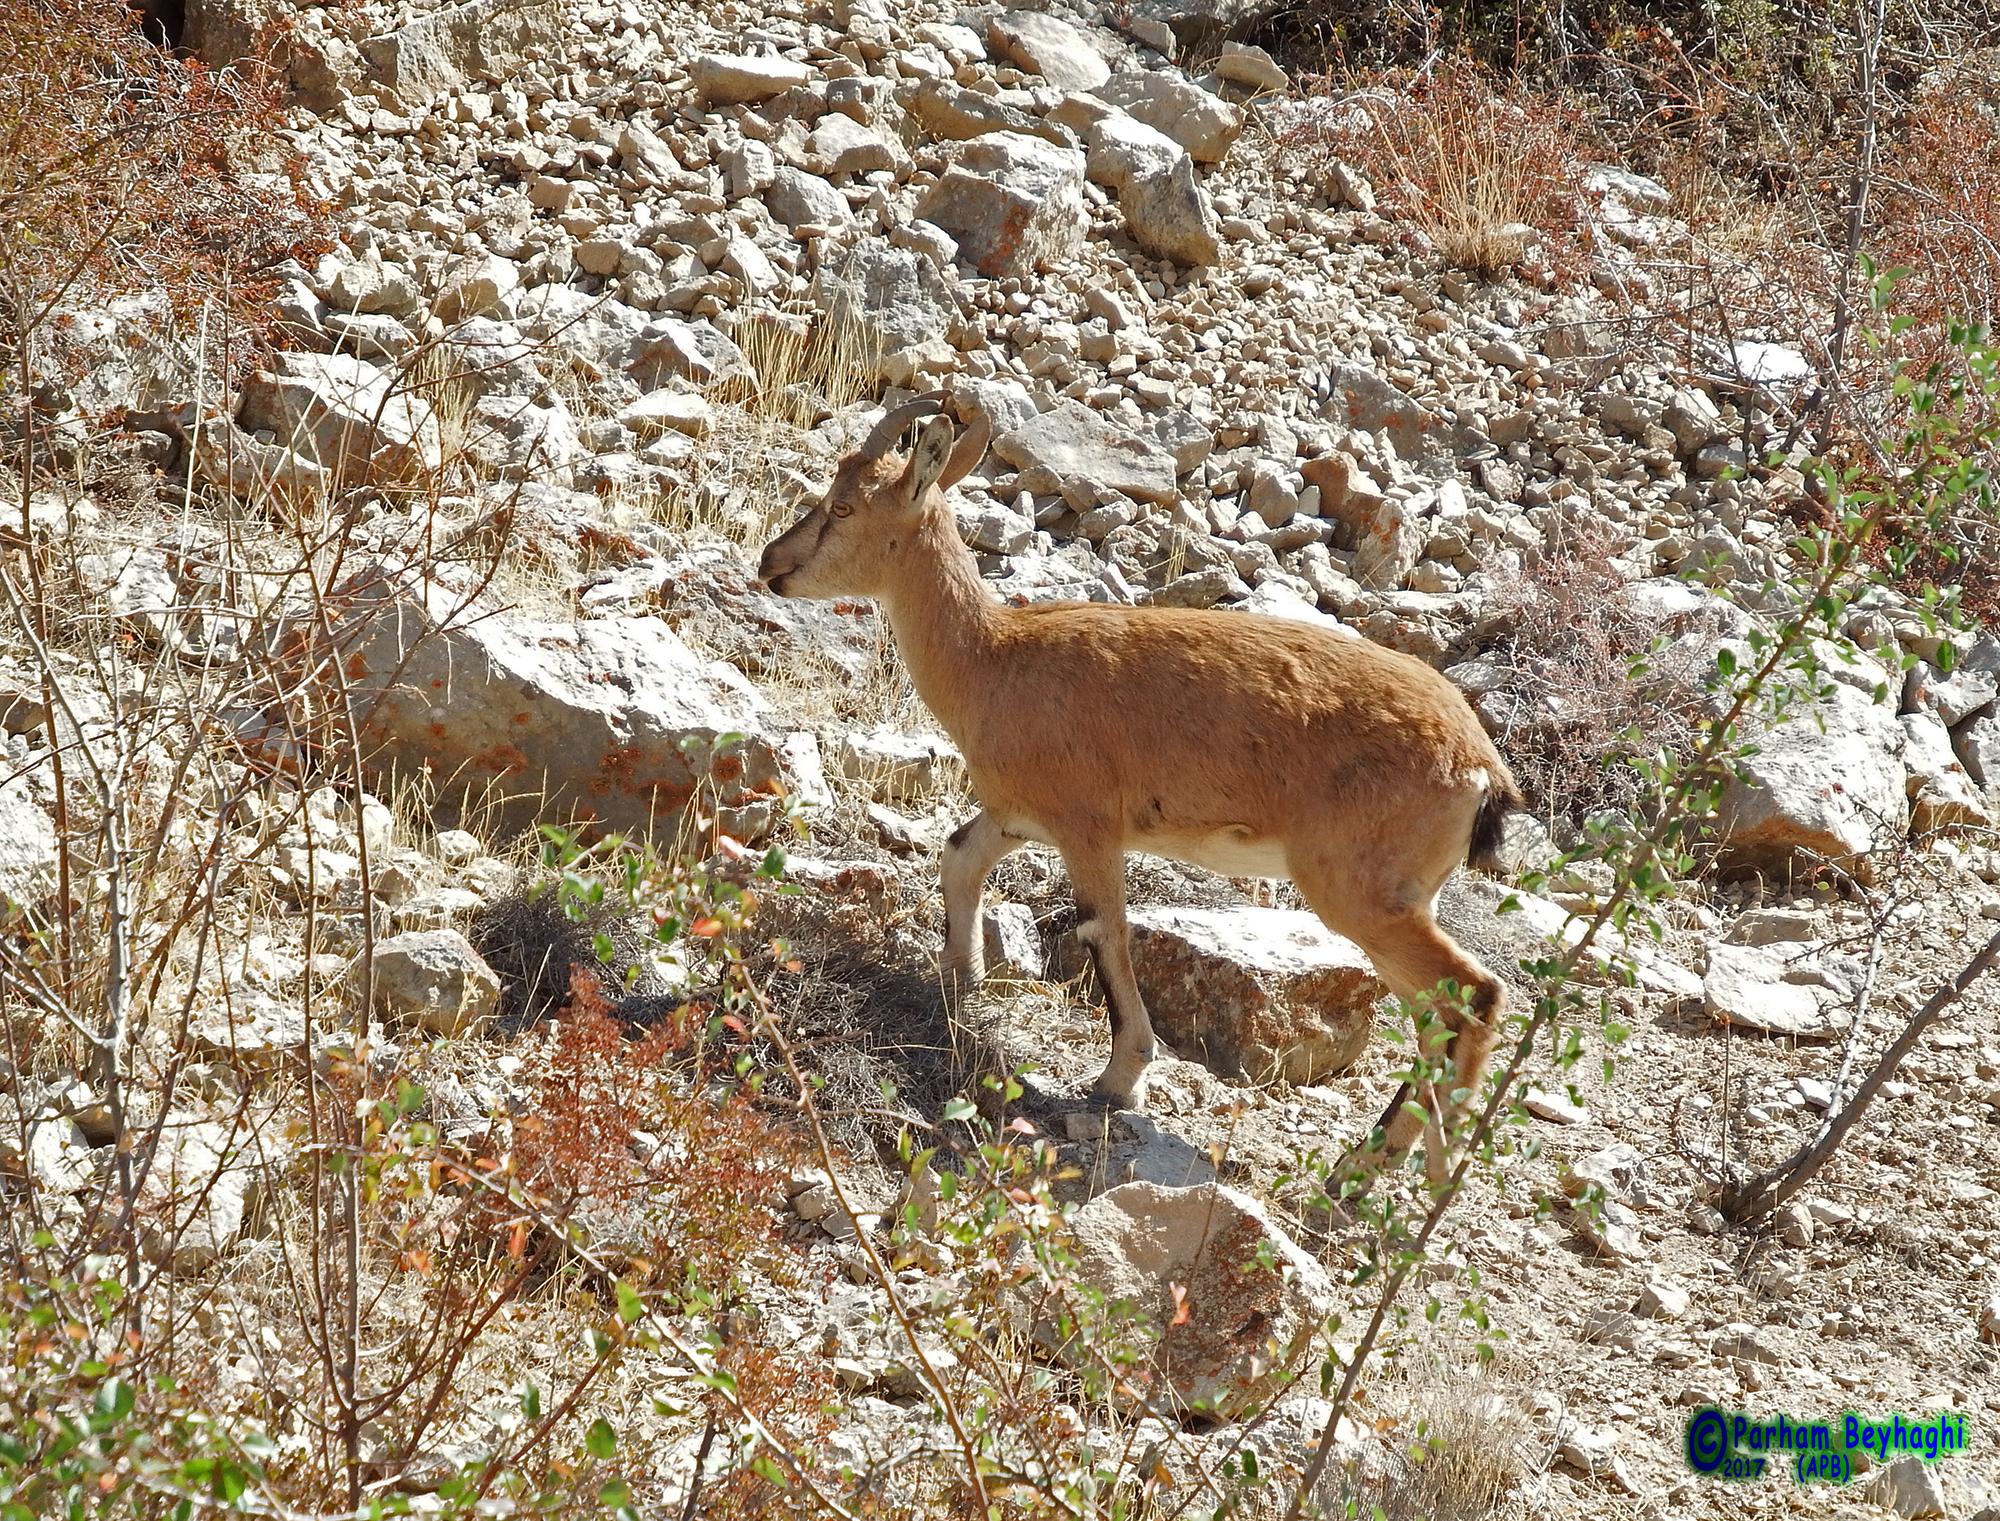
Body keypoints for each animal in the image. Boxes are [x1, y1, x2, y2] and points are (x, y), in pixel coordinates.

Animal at [758, 394, 1524, 1183]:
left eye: (843, 506)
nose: (770, 564)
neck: (993, 659)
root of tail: (1481, 767)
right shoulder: (1018, 816)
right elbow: (961, 855)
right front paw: (958, 982)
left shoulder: (1087, 828)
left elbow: (1106, 931)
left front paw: (1119, 1079)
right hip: (1402, 895)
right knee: (1443, 1014)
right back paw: (1389, 1164)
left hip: (1361, 892)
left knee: (1473, 996)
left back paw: (1407, 1174)